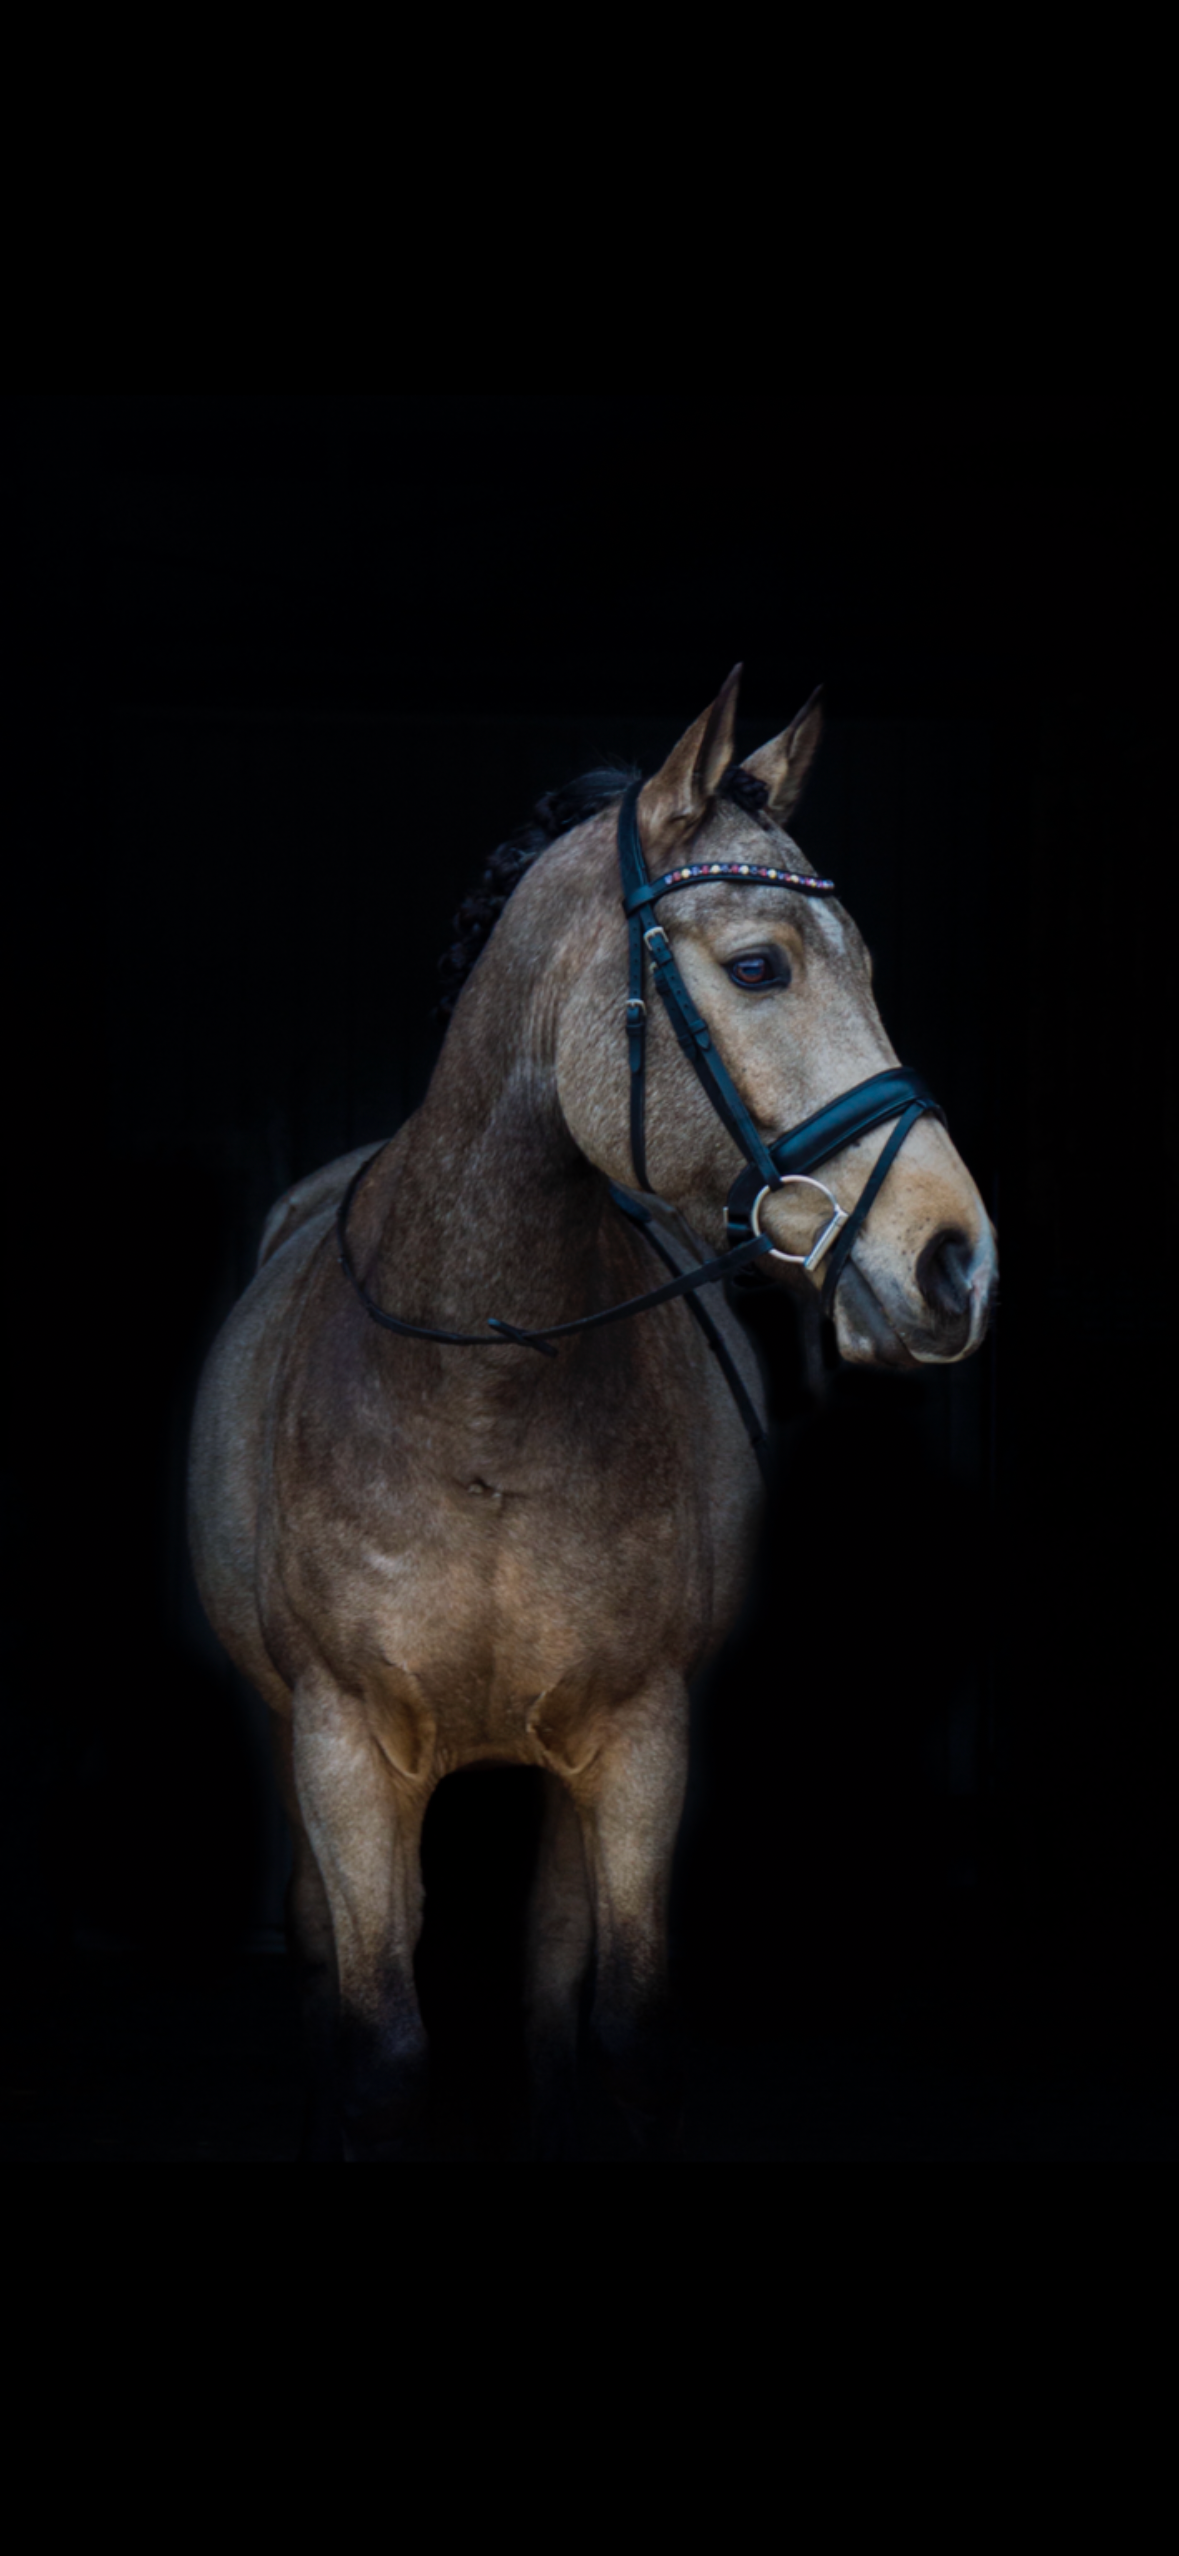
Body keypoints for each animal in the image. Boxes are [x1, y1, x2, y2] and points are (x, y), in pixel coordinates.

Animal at [188, 669, 998, 2161]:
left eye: (863, 963)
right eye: (758, 966)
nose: (953, 1261)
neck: (481, 1408)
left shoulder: (636, 1741)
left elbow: (613, 2024)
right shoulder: (341, 1746)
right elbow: (379, 2045)